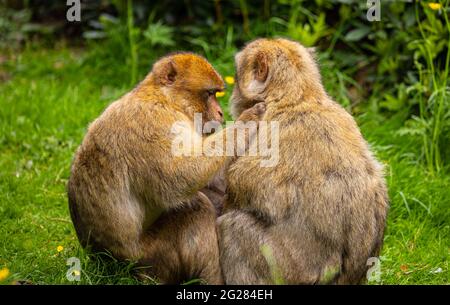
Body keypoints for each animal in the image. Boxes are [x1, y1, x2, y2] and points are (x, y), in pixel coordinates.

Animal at [65, 51, 266, 282]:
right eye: (209, 94)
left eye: (216, 94)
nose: (220, 113)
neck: (168, 99)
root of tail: (104, 260)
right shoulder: (157, 122)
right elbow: (181, 177)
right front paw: (247, 119)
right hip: (150, 259)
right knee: (195, 208)